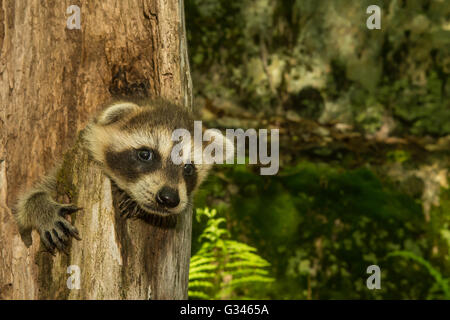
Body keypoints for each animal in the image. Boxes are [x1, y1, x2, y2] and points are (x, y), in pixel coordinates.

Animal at [14, 99, 217, 254]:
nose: (169, 198)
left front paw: (133, 202)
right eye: (145, 154)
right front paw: (41, 207)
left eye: (188, 168)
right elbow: (27, 206)